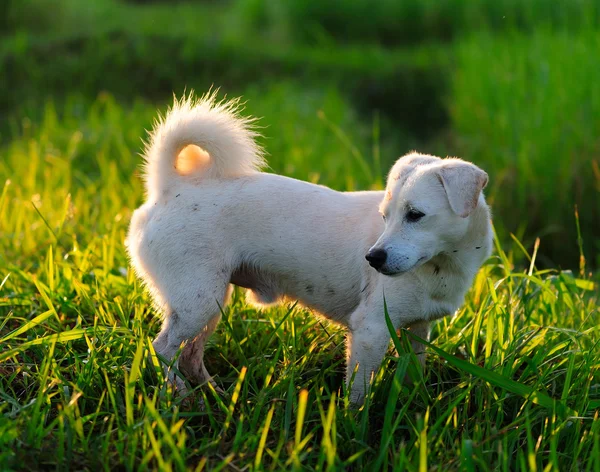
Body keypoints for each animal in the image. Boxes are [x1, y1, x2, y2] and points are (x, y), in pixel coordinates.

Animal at [126, 93, 492, 406]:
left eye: (415, 215)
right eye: (384, 217)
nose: (372, 259)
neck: (442, 266)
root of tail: (170, 187)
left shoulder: (417, 331)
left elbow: (415, 374)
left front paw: (416, 408)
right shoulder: (370, 330)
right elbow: (358, 394)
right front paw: (353, 429)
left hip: (208, 302)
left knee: (190, 355)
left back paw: (213, 397)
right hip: (196, 301)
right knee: (163, 348)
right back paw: (179, 396)